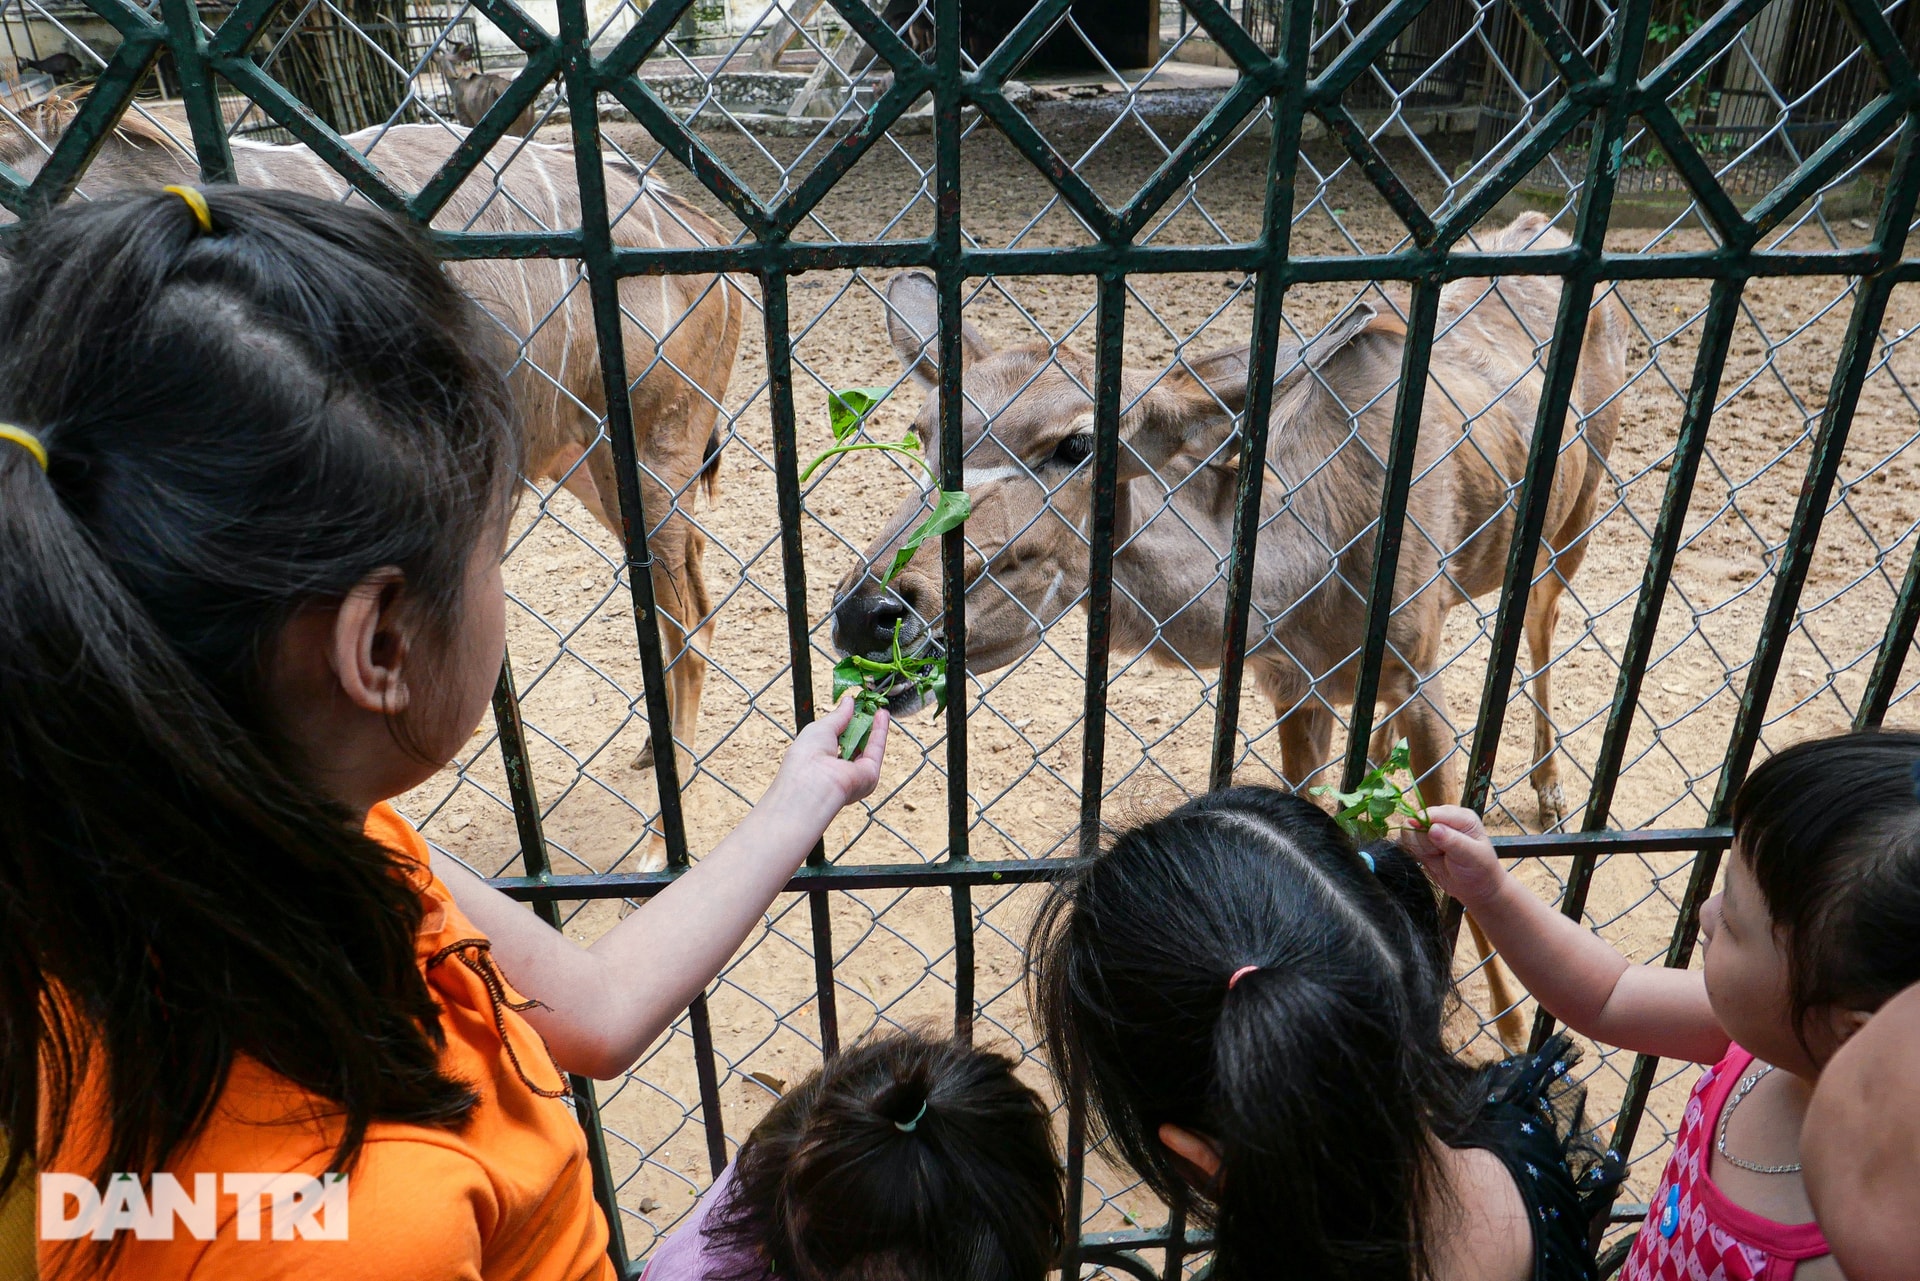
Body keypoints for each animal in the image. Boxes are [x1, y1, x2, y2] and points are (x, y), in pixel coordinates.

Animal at [833, 213, 1628, 1052]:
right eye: (921, 430)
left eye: (1075, 444)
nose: (866, 612)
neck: (1316, 552)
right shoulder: (1292, 684)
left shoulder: (1419, 664)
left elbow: (1454, 837)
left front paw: (1515, 1021)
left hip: (1570, 524)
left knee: (1541, 621)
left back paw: (1551, 793)